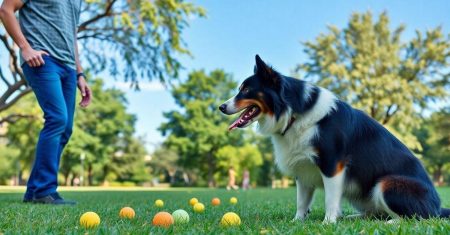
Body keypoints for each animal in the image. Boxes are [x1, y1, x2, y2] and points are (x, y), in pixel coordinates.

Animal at [219, 54, 450, 222]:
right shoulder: (302, 168)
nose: (221, 106)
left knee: (418, 218)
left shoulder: (333, 165)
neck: (295, 111)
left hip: (387, 184)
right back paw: (356, 217)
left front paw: (328, 223)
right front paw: (297, 222)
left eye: (246, 90)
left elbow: (330, 199)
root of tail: (438, 207)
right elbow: (301, 201)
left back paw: (391, 222)